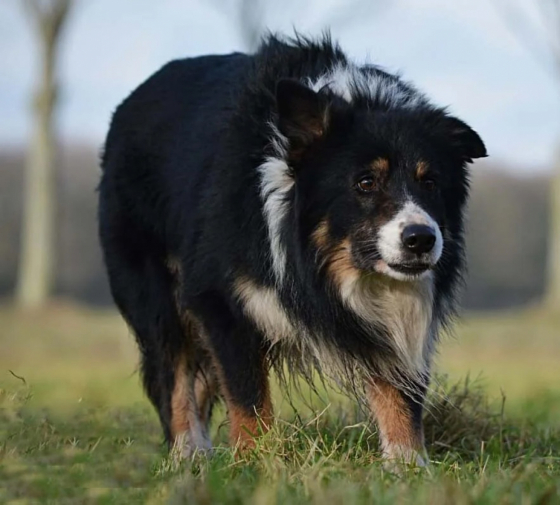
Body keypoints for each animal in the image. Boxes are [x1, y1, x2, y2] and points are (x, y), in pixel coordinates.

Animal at [98, 34, 488, 464]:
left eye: (430, 182)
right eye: (365, 182)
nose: (421, 239)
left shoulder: (402, 309)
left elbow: (399, 391)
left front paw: (408, 465)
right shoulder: (221, 297)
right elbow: (247, 395)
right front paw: (255, 461)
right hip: (157, 288)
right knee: (175, 370)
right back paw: (189, 453)